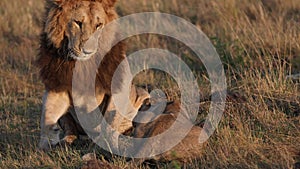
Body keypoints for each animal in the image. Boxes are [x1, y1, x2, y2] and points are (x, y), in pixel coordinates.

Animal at [37, 0, 149, 151]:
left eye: (98, 25)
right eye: (78, 22)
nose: (88, 51)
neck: (83, 65)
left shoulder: (119, 86)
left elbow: (110, 121)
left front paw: (110, 147)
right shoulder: (57, 88)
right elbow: (46, 117)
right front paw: (44, 144)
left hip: (143, 96)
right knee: (71, 131)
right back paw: (66, 142)